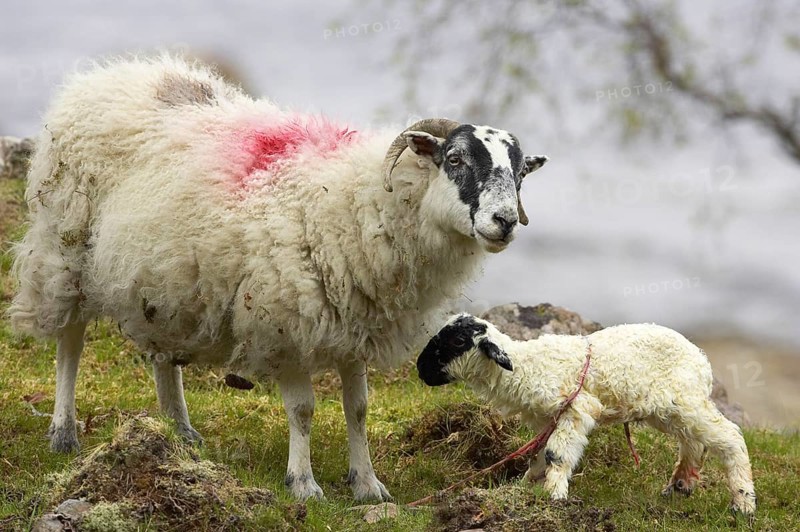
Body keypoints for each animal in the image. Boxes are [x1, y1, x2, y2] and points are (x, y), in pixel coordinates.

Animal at [8, 55, 549, 502]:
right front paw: (303, 484)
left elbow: (358, 408)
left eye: (520, 173)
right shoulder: (285, 318)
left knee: (162, 352)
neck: (362, 200)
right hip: (67, 247)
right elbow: (304, 409)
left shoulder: (357, 322)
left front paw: (367, 484)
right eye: (455, 160)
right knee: (71, 342)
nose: (504, 221)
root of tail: (109, 74)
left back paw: (179, 431)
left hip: (164, 274)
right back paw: (64, 431)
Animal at [416, 314, 757, 515]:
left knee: (730, 437)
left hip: (687, 402)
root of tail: (701, 359)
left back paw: (743, 503)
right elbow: (540, 455)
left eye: (458, 341)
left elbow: (555, 454)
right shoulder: (550, 419)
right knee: (694, 443)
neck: (527, 367)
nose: (420, 369)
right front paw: (526, 486)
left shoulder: (578, 408)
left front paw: (554, 495)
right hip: (670, 410)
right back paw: (680, 486)